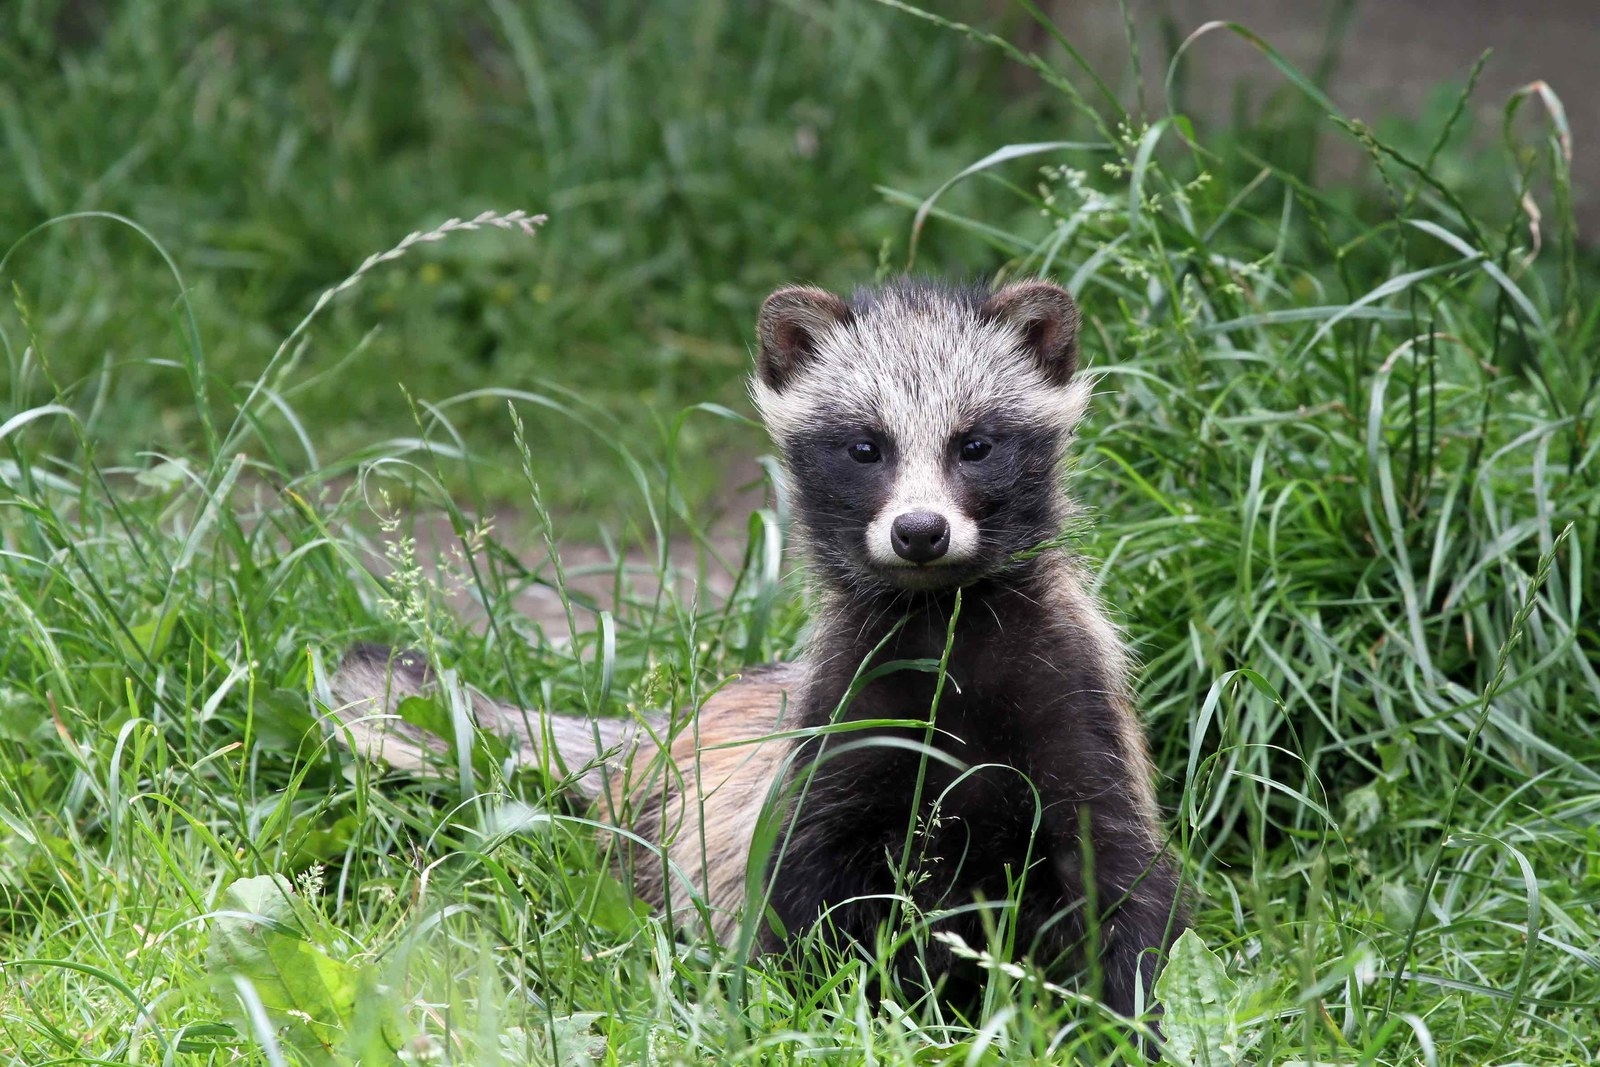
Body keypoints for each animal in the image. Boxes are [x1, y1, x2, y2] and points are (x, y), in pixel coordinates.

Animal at [331, 279, 1184, 1030]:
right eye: (864, 447)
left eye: (976, 444)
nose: (920, 530)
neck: (944, 631)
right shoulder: (844, 725)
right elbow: (802, 889)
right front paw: (830, 1008)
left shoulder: (1073, 708)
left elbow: (1118, 881)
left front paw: (1120, 1020)